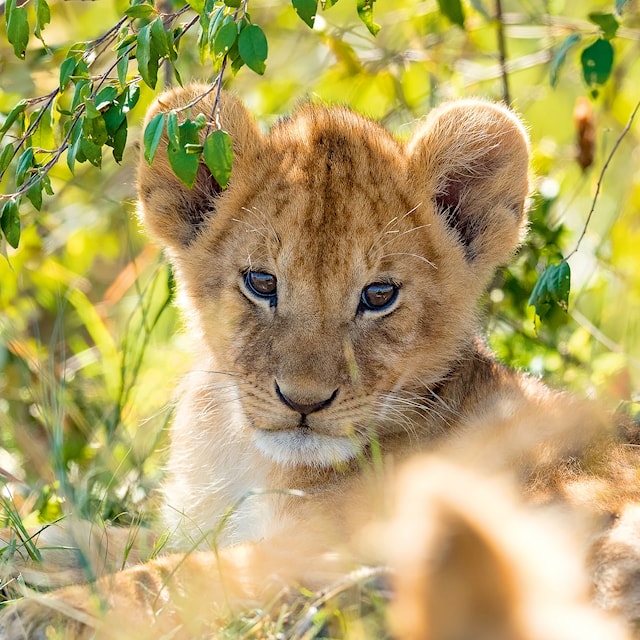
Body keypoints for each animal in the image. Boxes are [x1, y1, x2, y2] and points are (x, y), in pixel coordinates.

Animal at [0, 85, 638, 639]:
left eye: (379, 295)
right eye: (262, 283)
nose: (304, 402)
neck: (243, 454)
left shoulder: (318, 552)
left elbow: (173, 579)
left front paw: (44, 612)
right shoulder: (199, 525)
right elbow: (102, 539)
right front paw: (31, 549)